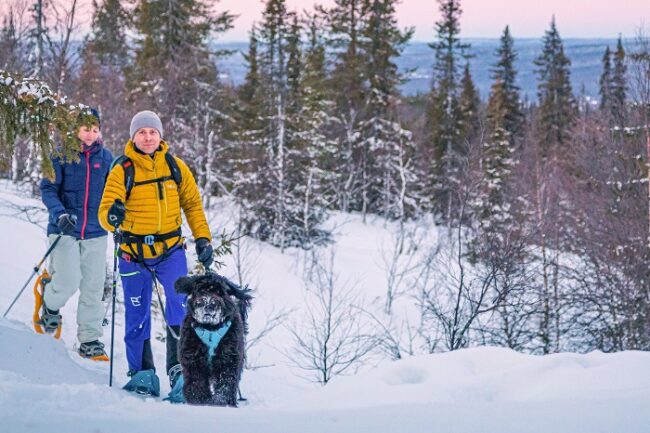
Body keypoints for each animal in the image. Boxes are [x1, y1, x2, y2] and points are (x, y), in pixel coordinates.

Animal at [175, 274, 251, 404]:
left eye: (220, 292)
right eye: (201, 290)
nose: (208, 303)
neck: (210, 328)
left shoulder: (228, 358)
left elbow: (226, 382)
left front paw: (222, 402)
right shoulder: (193, 360)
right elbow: (196, 382)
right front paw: (199, 400)